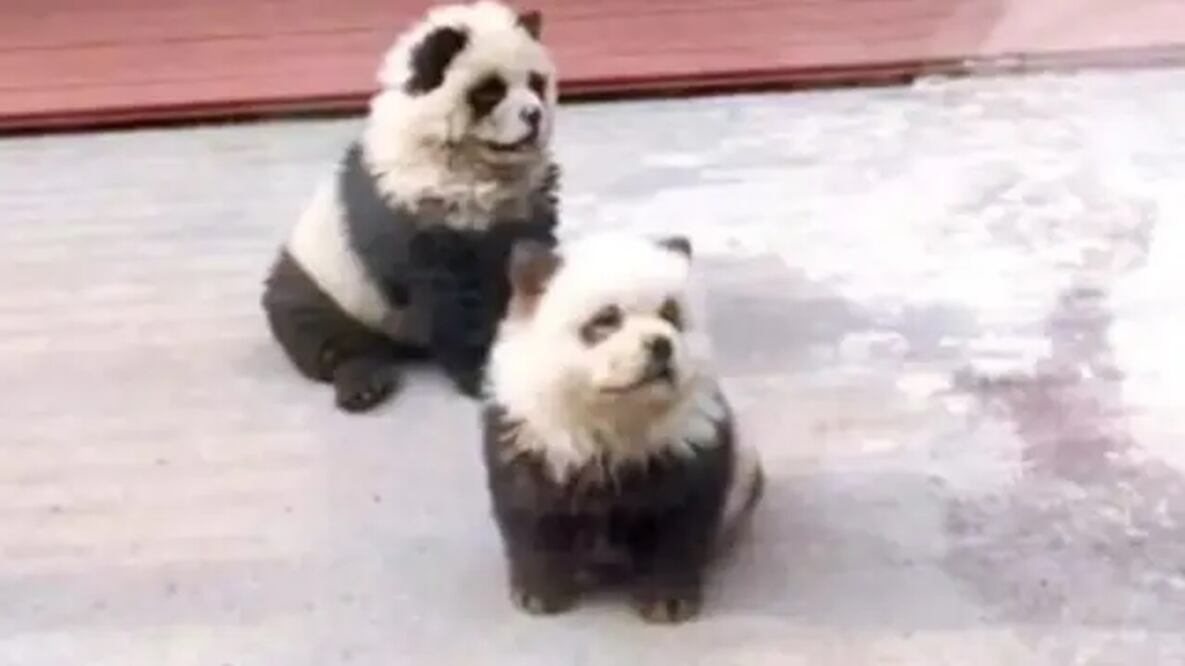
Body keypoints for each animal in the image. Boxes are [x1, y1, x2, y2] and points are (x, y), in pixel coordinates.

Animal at [262, 1, 560, 412]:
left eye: (536, 83)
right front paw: (481, 372)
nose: (533, 115)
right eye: (490, 92)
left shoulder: (529, 205)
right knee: (318, 333)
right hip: (324, 280)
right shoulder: (416, 207)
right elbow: (452, 300)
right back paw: (363, 383)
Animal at [480, 234, 764, 623]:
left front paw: (667, 600)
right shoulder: (532, 438)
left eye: (670, 314)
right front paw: (539, 593)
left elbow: (678, 524)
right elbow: (532, 517)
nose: (661, 344)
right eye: (606, 319)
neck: (617, 418)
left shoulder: (688, 446)